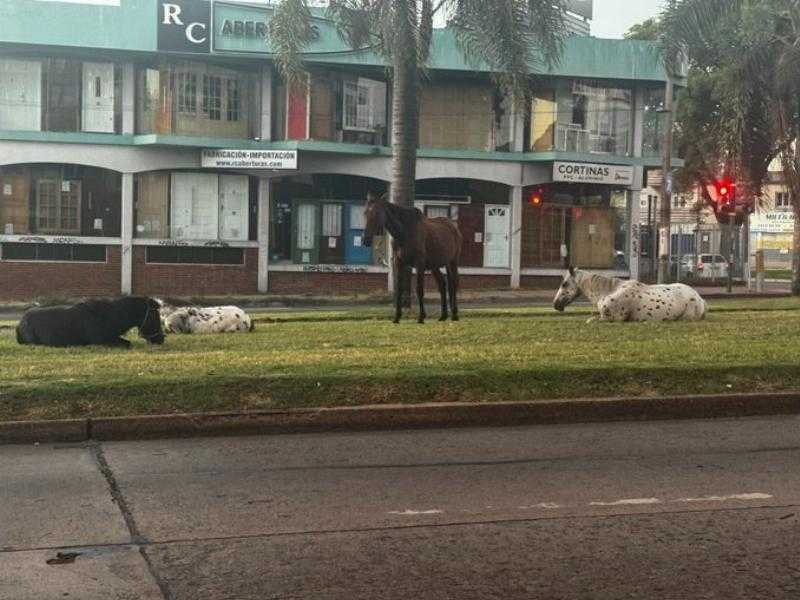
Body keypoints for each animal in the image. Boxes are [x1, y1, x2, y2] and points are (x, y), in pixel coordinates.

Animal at [362, 192, 462, 324]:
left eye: (377, 213)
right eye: (365, 213)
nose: (365, 240)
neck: (405, 232)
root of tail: (453, 227)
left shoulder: (419, 263)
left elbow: (419, 289)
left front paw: (421, 317)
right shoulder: (399, 262)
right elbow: (399, 288)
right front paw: (397, 317)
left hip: (452, 262)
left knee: (454, 283)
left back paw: (454, 314)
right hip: (434, 265)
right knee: (442, 284)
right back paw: (443, 315)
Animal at [556, 268, 708, 324]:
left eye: (564, 284)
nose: (556, 304)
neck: (610, 291)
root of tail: (700, 298)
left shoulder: (611, 319)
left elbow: (590, 320)